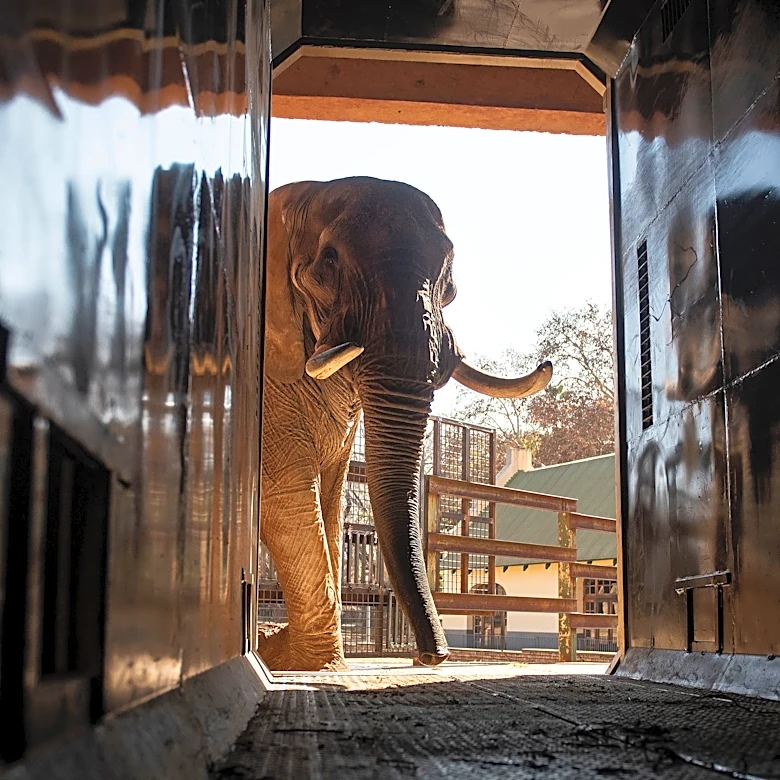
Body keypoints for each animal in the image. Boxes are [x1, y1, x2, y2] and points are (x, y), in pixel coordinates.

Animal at [258, 176, 552, 671]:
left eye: (449, 284)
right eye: (328, 263)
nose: (432, 656)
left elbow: (329, 503)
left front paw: (288, 654)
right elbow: (287, 495)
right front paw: (298, 660)